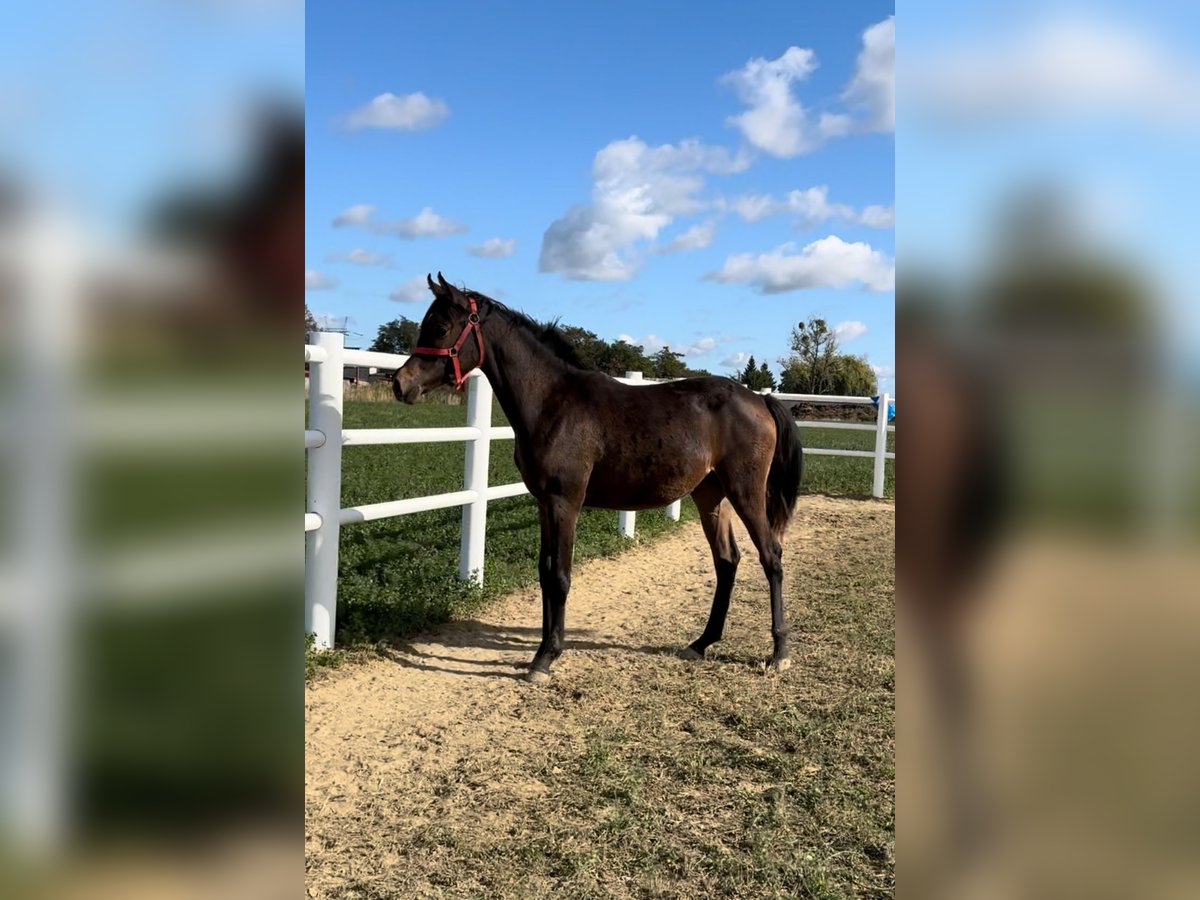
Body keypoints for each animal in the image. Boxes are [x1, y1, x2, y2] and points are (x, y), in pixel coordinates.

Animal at [396, 274, 806, 681]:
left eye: (441, 327)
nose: (401, 383)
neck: (554, 404)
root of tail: (760, 399)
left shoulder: (565, 502)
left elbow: (560, 576)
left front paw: (546, 657)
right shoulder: (544, 503)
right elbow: (545, 572)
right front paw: (542, 651)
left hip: (745, 491)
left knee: (771, 556)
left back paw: (780, 653)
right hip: (710, 496)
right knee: (726, 560)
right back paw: (701, 643)